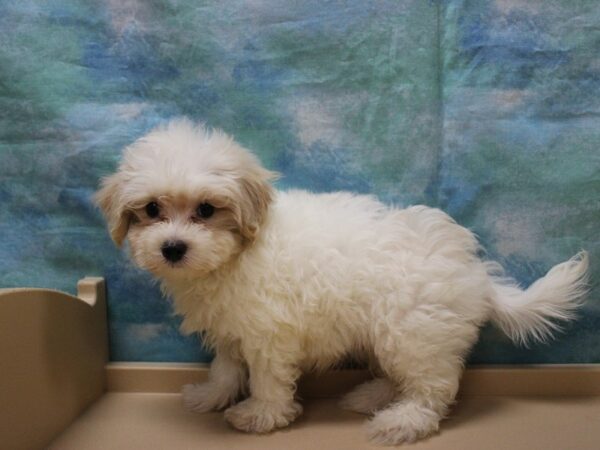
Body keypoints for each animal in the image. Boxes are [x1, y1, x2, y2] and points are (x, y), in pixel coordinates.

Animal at [96, 119, 588, 446]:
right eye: (152, 209)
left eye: (205, 210)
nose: (173, 248)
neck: (236, 255)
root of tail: (476, 272)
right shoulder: (233, 326)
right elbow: (226, 366)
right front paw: (211, 395)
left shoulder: (269, 333)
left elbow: (267, 379)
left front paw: (261, 415)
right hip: (393, 334)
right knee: (400, 375)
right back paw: (371, 396)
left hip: (413, 332)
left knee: (432, 389)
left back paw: (401, 422)